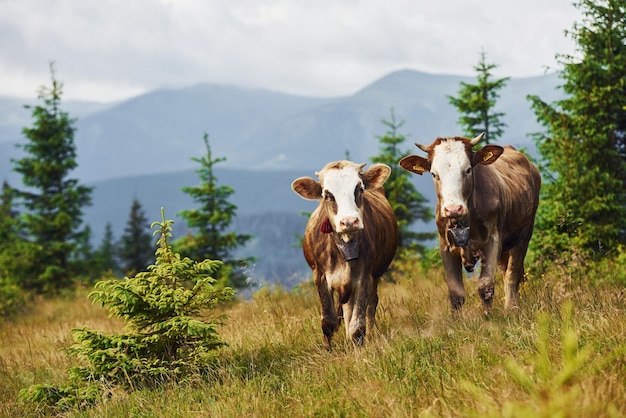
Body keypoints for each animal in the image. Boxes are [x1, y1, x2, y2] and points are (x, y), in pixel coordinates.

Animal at [288, 160, 394, 346]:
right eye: (327, 195)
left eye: (359, 188)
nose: (349, 221)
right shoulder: (320, 276)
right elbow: (328, 322)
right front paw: (327, 350)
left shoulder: (365, 277)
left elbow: (357, 327)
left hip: (375, 276)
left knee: (370, 305)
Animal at [400, 132, 536, 312]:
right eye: (434, 174)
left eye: (468, 169)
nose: (453, 209)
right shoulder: (446, 247)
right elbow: (456, 294)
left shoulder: (493, 241)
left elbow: (485, 286)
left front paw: (489, 317)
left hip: (524, 236)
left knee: (512, 275)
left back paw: (511, 307)